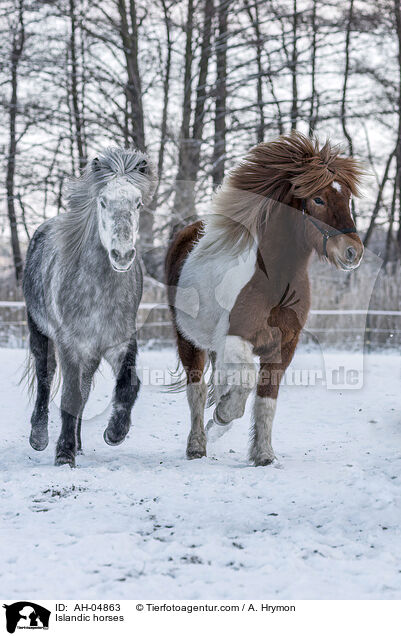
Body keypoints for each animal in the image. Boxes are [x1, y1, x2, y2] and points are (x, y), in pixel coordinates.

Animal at [22, 149, 155, 468]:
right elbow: (69, 395)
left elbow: (129, 384)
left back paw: (80, 444)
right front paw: (64, 454)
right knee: (46, 378)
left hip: (91, 354)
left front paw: (115, 432)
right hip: (39, 332)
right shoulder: (71, 343)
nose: (122, 255)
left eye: (138, 202)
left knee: (83, 391)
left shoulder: (119, 342)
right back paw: (39, 438)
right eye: (103, 201)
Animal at [164, 132, 364, 464]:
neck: (275, 286)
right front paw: (223, 414)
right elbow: (244, 383)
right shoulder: (236, 336)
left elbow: (266, 399)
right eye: (318, 199)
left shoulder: (284, 346)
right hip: (188, 339)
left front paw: (263, 454)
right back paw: (197, 444)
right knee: (197, 390)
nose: (353, 252)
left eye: (347, 197)